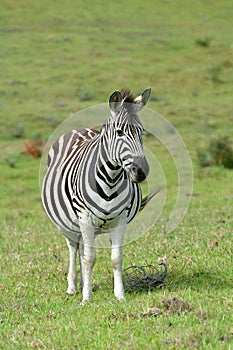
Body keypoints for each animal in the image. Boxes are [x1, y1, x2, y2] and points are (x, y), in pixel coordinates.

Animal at [41, 87, 152, 304]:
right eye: (119, 133)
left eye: (141, 132)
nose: (141, 172)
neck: (110, 180)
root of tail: (79, 129)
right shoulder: (84, 217)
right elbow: (89, 259)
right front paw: (86, 299)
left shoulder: (121, 220)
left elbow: (115, 259)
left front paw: (119, 295)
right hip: (67, 223)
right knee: (74, 248)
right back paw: (73, 286)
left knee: (83, 250)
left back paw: (85, 283)